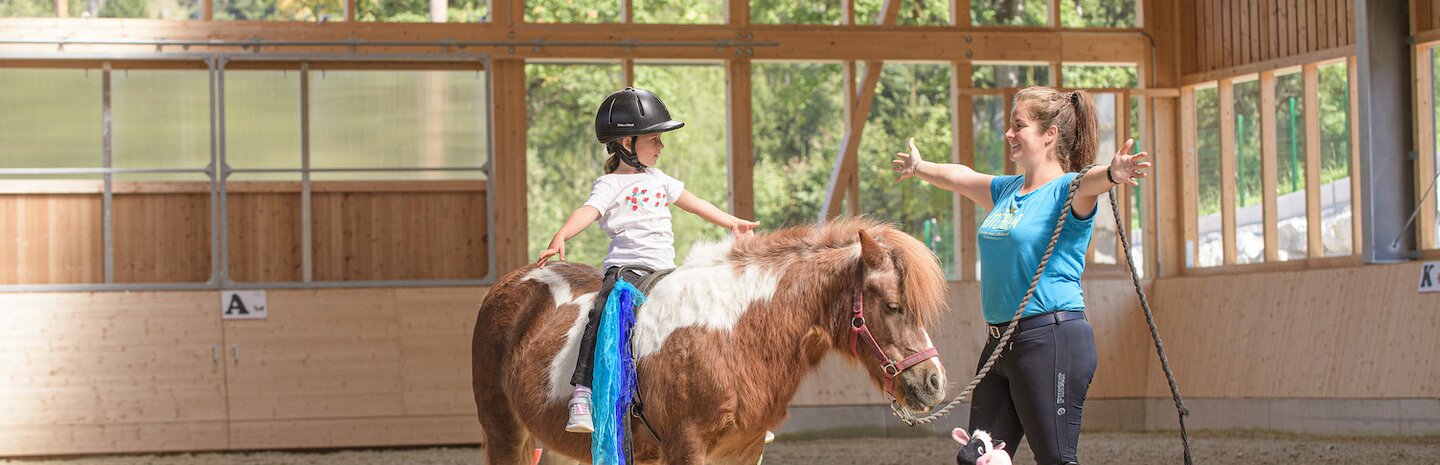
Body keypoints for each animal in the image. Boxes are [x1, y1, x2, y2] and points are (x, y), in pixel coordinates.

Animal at [466, 220, 950, 465]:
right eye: (892, 306)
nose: (934, 382)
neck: (734, 333)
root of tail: (509, 284)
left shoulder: (743, 451)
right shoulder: (686, 448)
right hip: (504, 433)